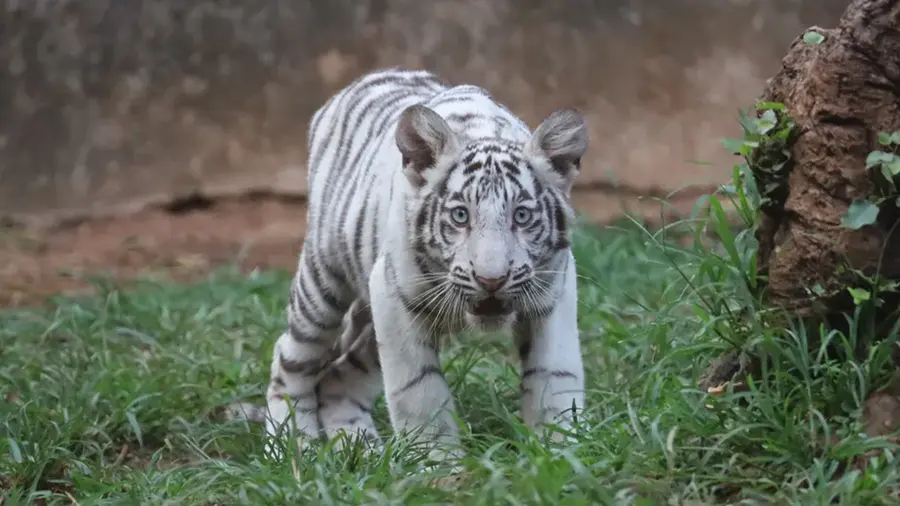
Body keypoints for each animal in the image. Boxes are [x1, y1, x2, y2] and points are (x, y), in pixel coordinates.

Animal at [264, 68, 587, 462]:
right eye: (461, 215)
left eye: (522, 216)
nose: (491, 280)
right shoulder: (394, 299)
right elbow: (419, 388)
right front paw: (438, 462)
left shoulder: (552, 293)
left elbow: (554, 376)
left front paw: (560, 452)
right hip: (323, 284)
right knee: (289, 359)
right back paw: (295, 449)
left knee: (337, 378)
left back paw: (363, 452)